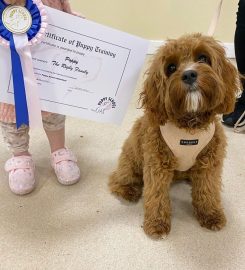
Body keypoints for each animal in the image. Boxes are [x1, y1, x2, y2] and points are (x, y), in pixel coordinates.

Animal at [109, 33, 239, 238]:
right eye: (171, 68)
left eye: (203, 58)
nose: (189, 74)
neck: (189, 126)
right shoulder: (156, 165)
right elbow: (157, 195)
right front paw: (156, 223)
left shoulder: (209, 164)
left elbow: (208, 190)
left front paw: (211, 215)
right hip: (132, 159)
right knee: (118, 178)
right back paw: (127, 189)